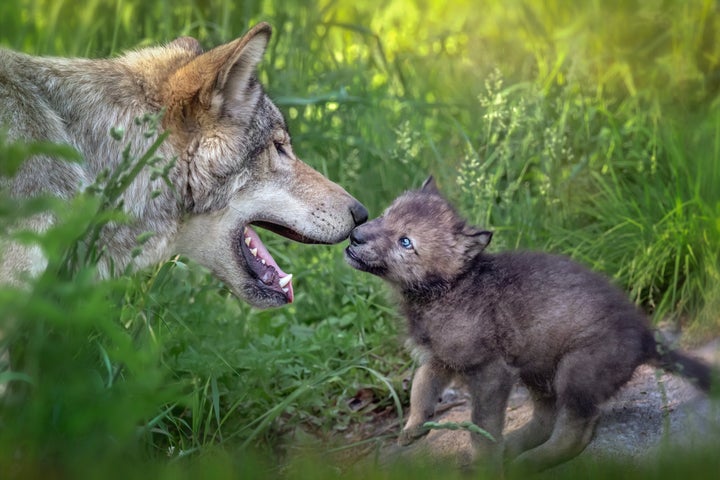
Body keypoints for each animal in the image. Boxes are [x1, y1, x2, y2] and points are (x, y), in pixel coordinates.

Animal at [344, 177, 716, 472]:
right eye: (386, 214)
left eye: (405, 242)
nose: (356, 234)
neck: (447, 289)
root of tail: (647, 337)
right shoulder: (441, 358)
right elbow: (421, 390)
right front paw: (412, 429)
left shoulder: (489, 370)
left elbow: (482, 426)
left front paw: (485, 464)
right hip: (538, 369)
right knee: (546, 419)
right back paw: (515, 448)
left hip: (575, 371)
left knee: (576, 431)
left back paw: (530, 461)